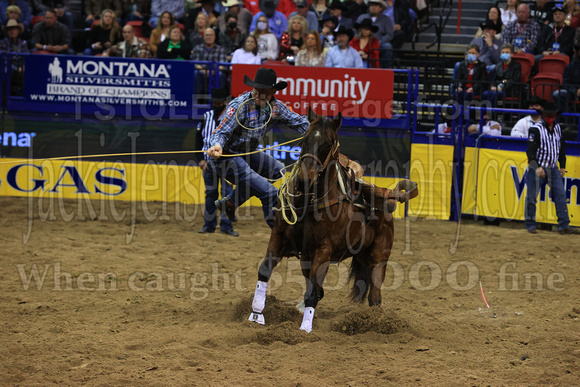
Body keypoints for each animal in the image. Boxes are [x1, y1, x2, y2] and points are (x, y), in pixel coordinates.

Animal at [248, 109, 416, 334]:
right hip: (321, 258)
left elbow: (312, 292)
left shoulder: (324, 250)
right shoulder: (280, 237)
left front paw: (305, 328)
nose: (303, 181)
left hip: (378, 257)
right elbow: (265, 271)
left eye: (328, 144)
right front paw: (256, 314)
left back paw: (375, 322)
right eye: (304, 140)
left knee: (375, 296)